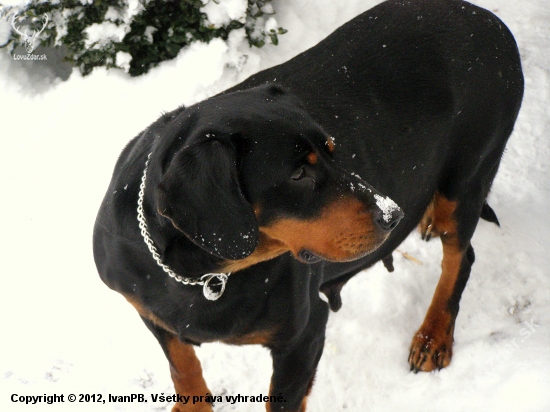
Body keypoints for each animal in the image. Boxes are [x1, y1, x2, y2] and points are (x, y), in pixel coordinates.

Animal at [94, 1, 528, 410]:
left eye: (333, 150)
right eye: (299, 174)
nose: (393, 215)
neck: (200, 274)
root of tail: (491, 21)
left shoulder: (303, 335)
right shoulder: (151, 314)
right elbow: (182, 366)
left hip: (467, 175)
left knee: (461, 257)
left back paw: (433, 335)